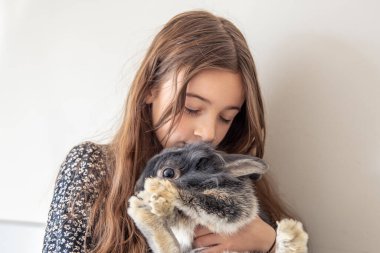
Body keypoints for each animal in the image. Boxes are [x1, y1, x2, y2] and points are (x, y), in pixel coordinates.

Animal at [128, 141, 308, 252]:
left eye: (168, 173)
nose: (137, 189)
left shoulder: (232, 203)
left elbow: (198, 200)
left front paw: (159, 189)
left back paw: (291, 231)